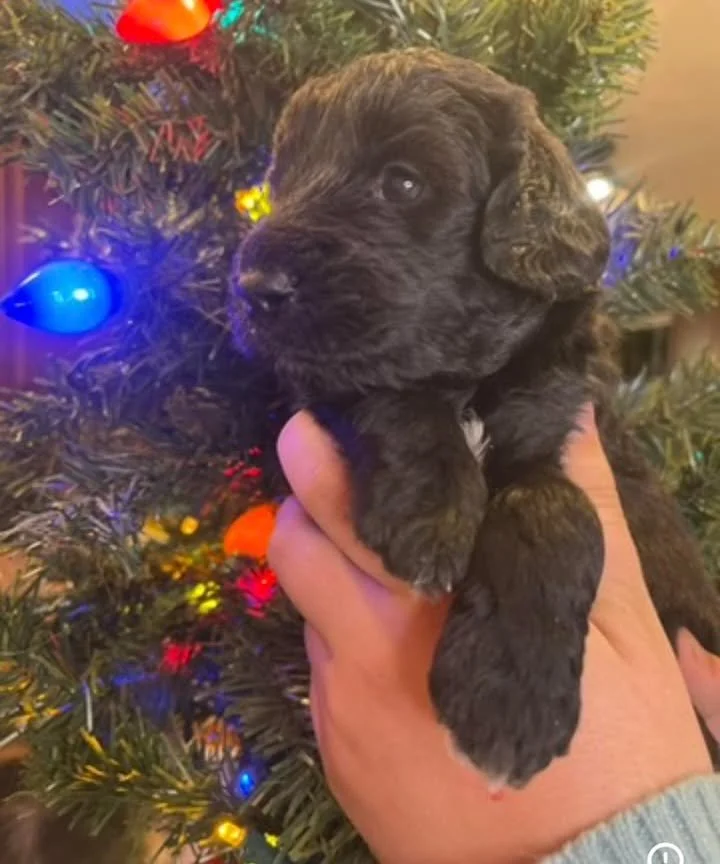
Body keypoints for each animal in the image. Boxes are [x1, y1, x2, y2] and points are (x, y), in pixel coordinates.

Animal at [232, 48, 720, 787]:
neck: (473, 378)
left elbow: (557, 507)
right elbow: (390, 390)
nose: (254, 289)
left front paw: (511, 702)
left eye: (402, 182)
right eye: (280, 184)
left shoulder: (579, 427)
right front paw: (432, 511)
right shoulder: (332, 379)